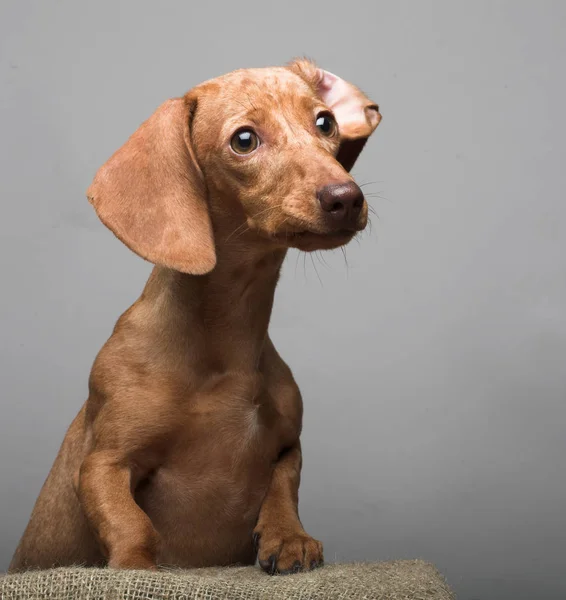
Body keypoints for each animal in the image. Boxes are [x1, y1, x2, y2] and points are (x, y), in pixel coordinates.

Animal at [10, 58, 382, 576]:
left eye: (324, 122)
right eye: (244, 140)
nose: (345, 197)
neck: (227, 340)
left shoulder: (289, 446)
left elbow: (284, 486)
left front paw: (288, 538)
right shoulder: (103, 463)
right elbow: (131, 524)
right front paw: (138, 568)